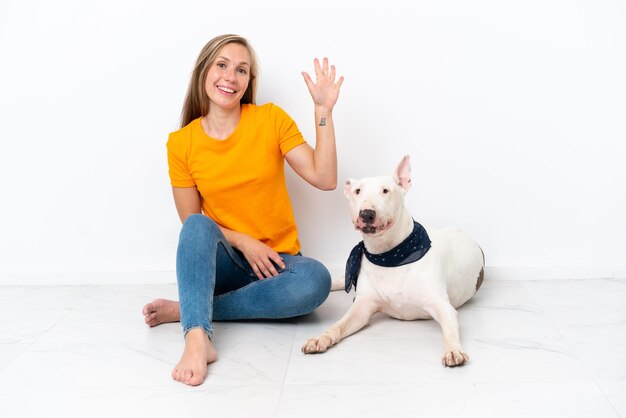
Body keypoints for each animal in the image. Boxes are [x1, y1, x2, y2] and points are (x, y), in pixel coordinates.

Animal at [302, 154, 482, 366]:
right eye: (357, 191)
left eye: (385, 190)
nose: (366, 213)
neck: (389, 255)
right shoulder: (363, 305)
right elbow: (338, 325)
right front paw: (320, 338)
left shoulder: (440, 305)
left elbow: (450, 329)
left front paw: (453, 350)